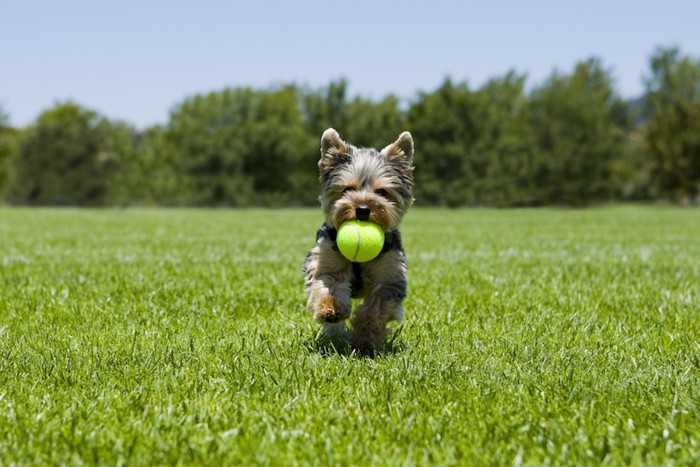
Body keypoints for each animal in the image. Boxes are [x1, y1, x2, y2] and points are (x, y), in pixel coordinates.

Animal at [302, 128, 412, 354]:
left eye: (382, 192)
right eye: (346, 189)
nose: (362, 209)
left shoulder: (389, 277)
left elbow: (374, 310)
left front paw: (364, 340)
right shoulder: (327, 260)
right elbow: (330, 285)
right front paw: (331, 309)